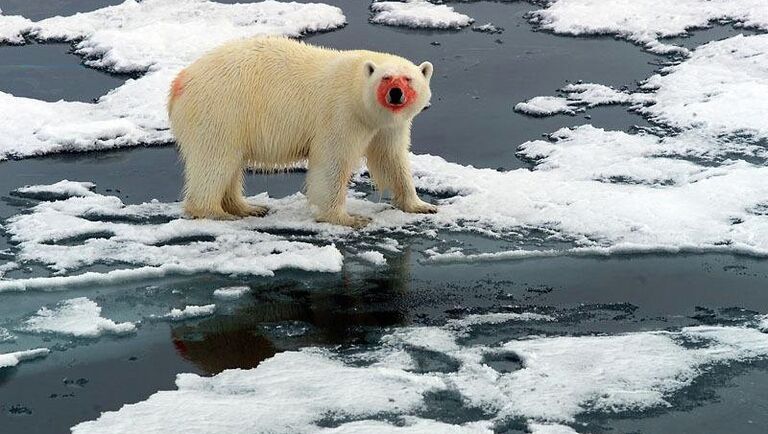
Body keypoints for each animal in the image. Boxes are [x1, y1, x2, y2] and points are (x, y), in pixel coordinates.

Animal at [166, 36, 438, 227]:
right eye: (386, 78)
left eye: (408, 79)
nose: (396, 93)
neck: (355, 88)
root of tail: (180, 82)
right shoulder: (341, 114)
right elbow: (332, 162)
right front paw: (349, 218)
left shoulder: (387, 126)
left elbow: (391, 159)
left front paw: (421, 205)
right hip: (221, 110)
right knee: (215, 160)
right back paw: (214, 212)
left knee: (230, 164)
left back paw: (247, 207)